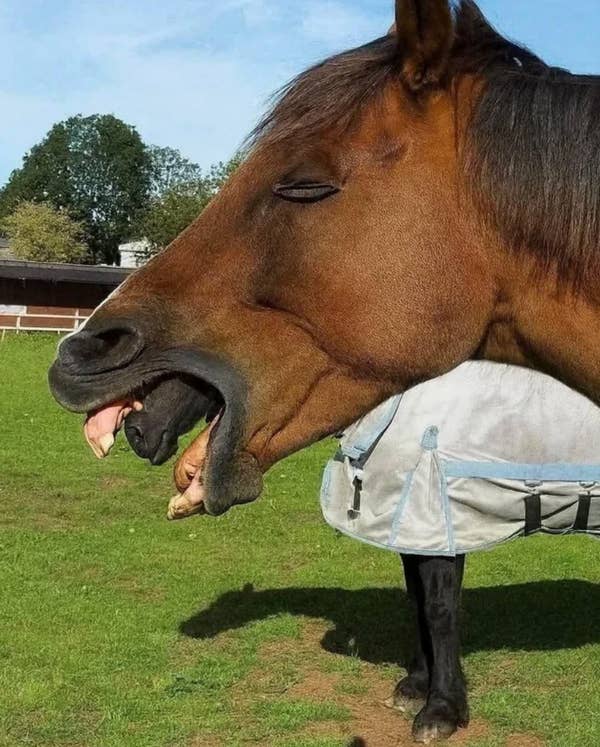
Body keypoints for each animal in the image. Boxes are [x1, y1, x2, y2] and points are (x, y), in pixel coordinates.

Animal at [49, 0, 600, 741]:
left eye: (306, 184)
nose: (83, 355)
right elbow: (416, 599)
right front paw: (417, 685)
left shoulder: (437, 519)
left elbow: (438, 606)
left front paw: (440, 708)